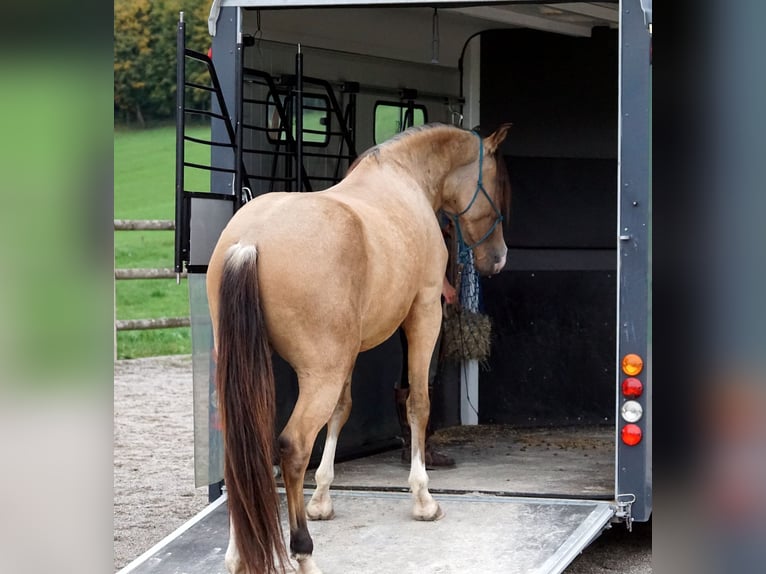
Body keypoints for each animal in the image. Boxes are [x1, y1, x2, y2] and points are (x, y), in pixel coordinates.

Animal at [206, 123, 512, 574]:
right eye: (498, 184)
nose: (498, 260)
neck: (403, 178)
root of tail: (250, 241)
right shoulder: (424, 314)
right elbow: (418, 403)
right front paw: (423, 499)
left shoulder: (348, 351)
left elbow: (342, 410)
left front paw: (321, 499)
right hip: (320, 373)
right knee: (293, 447)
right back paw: (304, 554)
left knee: (241, 450)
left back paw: (237, 554)